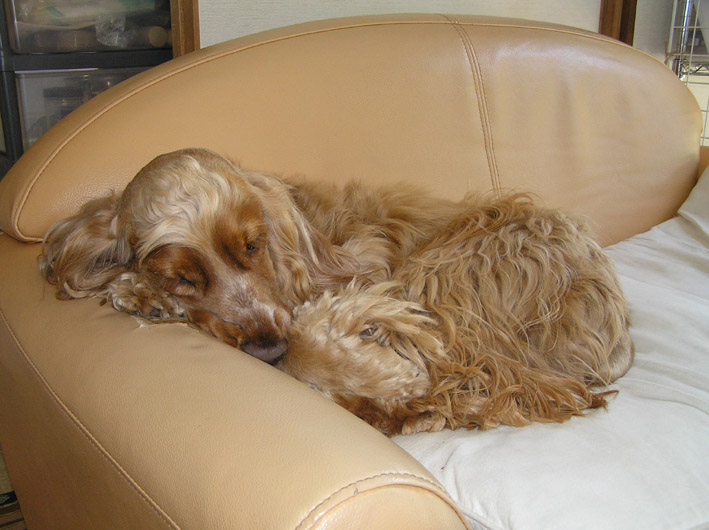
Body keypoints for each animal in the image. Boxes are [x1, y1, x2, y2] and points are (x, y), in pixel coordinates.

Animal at [40, 148, 634, 435]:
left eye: (252, 246)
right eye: (183, 276)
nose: (266, 350)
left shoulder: (364, 267)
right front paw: (143, 294)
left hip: (456, 267)